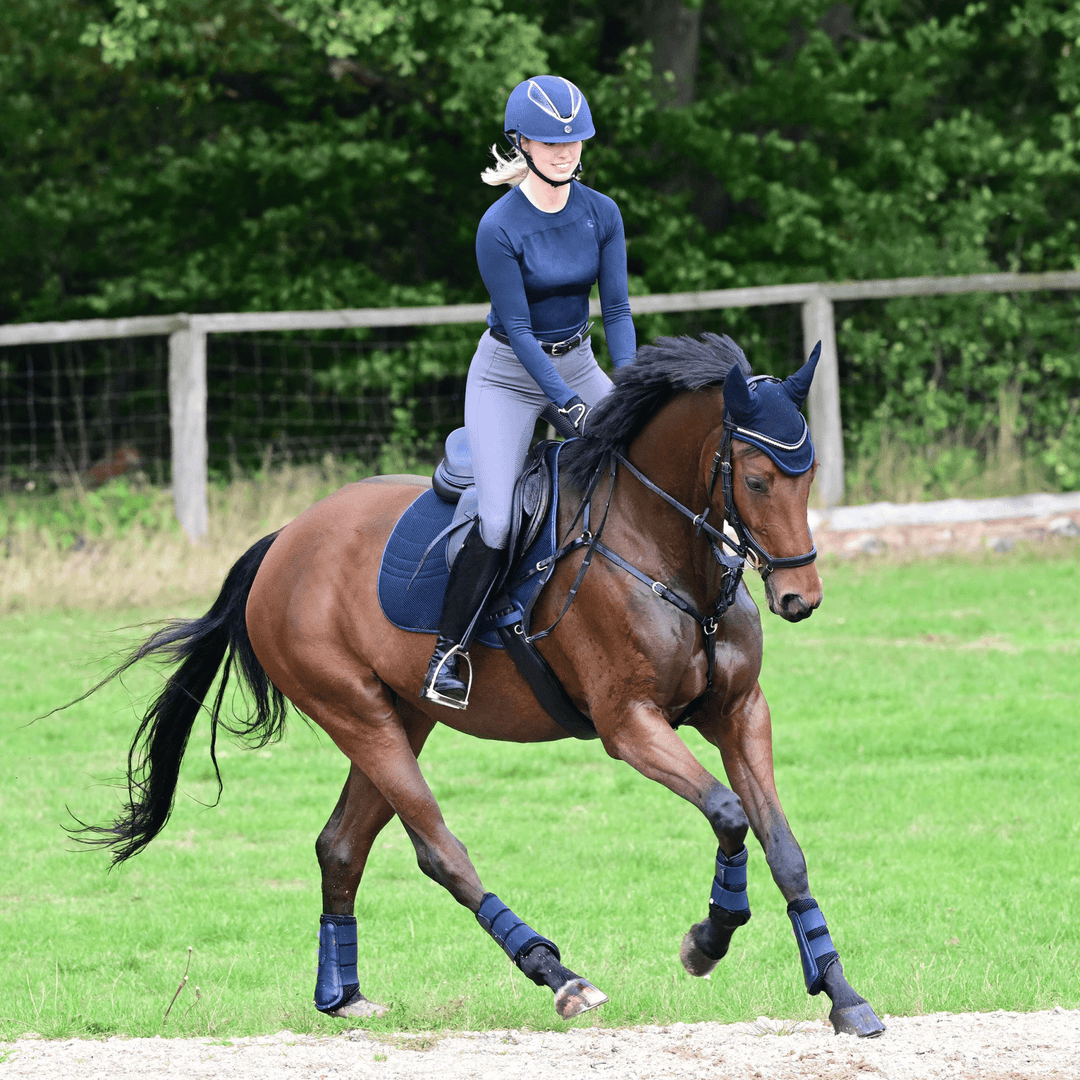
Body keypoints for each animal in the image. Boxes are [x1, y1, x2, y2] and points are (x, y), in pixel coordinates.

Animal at [70, 332, 884, 1038]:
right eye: (756, 479)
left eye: (808, 475)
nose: (800, 599)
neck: (665, 551)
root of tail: (286, 541)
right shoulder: (630, 724)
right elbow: (727, 813)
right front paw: (707, 941)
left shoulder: (741, 713)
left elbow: (783, 847)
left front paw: (842, 994)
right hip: (354, 712)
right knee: (439, 851)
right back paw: (559, 975)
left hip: (403, 715)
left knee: (341, 844)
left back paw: (343, 996)